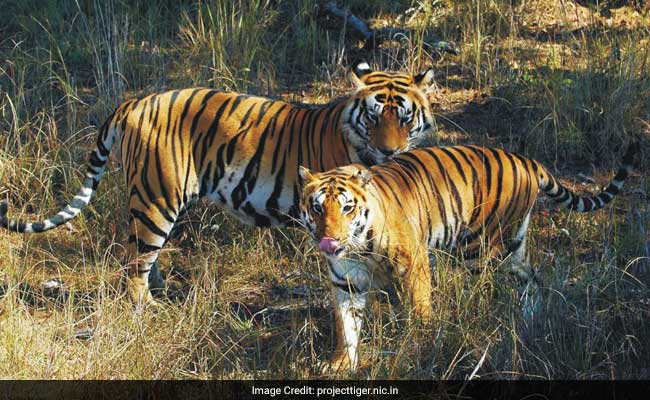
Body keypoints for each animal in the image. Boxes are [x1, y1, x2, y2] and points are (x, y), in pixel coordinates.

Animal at [1, 61, 436, 306]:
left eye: (404, 117)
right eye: (374, 115)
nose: (390, 151)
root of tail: (135, 101)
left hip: (157, 199)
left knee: (143, 253)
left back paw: (165, 294)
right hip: (157, 196)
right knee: (135, 261)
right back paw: (147, 308)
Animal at [298, 145, 632, 372]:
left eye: (347, 208)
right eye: (317, 207)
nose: (329, 240)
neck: (356, 246)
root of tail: (524, 159)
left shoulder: (413, 263)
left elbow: (420, 309)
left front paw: (422, 347)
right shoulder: (346, 282)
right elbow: (346, 325)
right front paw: (341, 363)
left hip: (483, 249)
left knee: (499, 286)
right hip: (513, 246)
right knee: (532, 281)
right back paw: (532, 321)